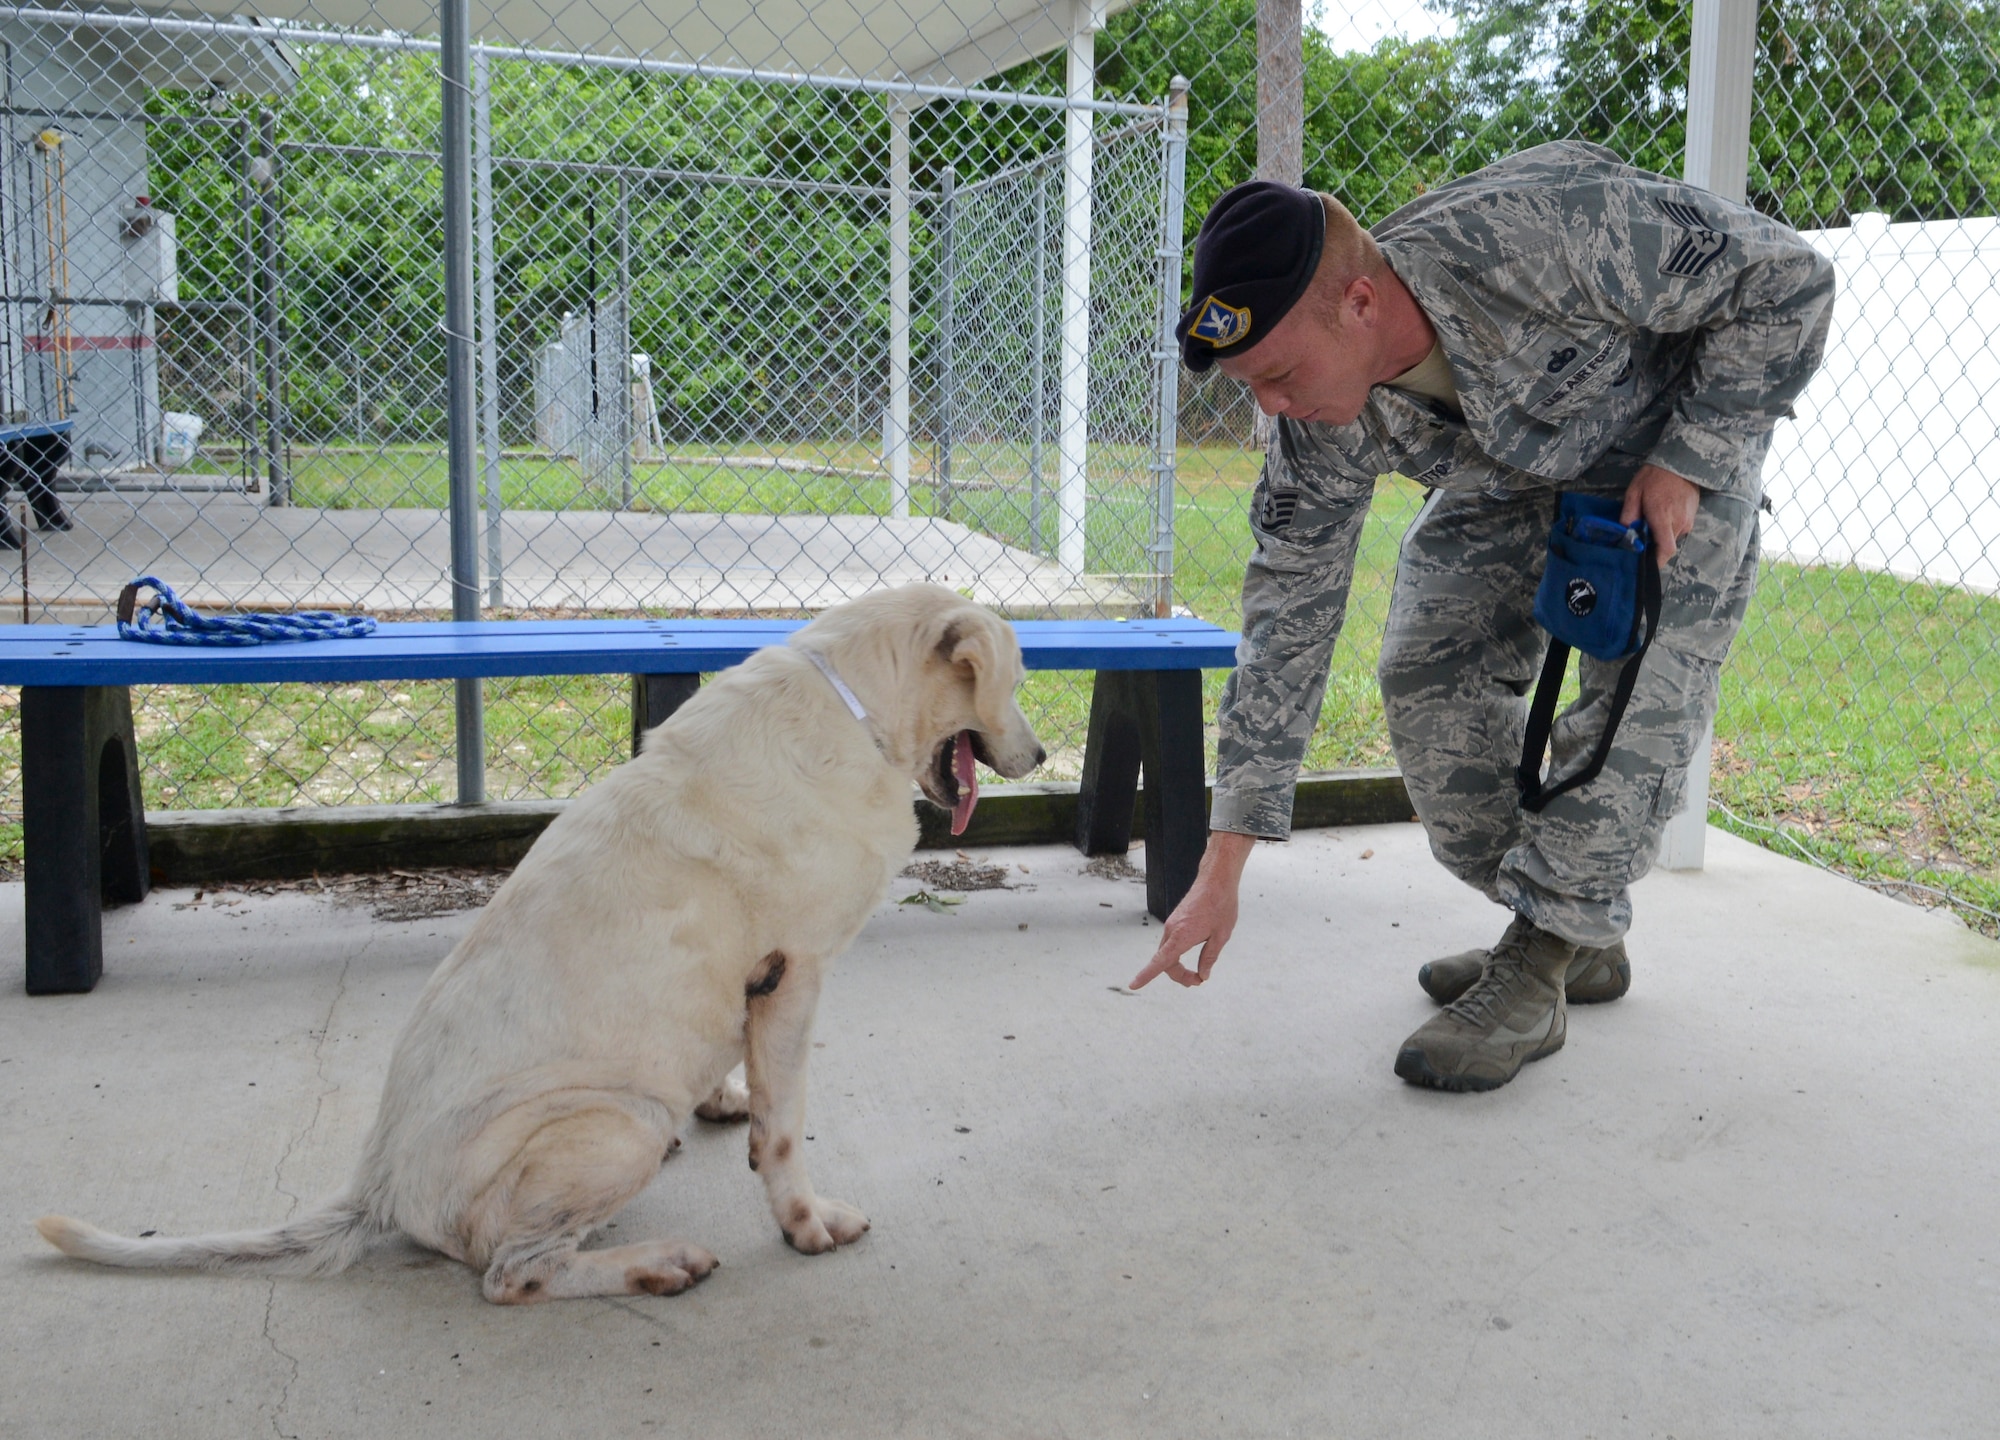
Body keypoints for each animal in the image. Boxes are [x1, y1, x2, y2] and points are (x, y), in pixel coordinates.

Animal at [39, 584, 1048, 1304]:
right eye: (1018, 682)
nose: (1040, 758)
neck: (855, 707)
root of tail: (378, 1188)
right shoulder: (792, 976)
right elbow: (788, 1130)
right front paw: (805, 1224)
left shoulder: (755, 994)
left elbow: (750, 1083)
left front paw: (726, 1099)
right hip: (618, 1121)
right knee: (511, 1274)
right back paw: (655, 1263)